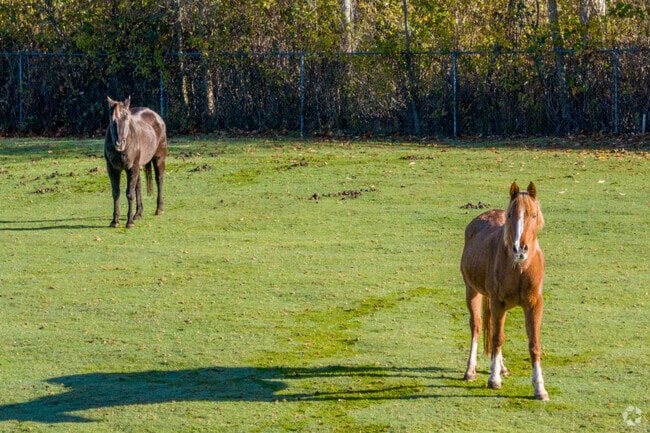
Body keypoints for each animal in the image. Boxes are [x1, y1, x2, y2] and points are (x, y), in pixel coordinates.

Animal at [104, 96, 167, 228]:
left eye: (126, 117)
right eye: (111, 119)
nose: (119, 144)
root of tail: (156, 116)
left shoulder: (131, 167)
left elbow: (130, 193)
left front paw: (129, 222)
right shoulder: (112, 169)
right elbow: (116, 193)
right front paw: (115, 221)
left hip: (159, 158)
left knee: (159, 180)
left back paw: (159, 209)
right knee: (138, 185)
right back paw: (138, 213)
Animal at [460, 181, 549, 400]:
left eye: (533, 215)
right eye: (510, 215)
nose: (520, 249)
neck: (520, 268)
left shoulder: (534, 304)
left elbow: (534, 345)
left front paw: (540, 388)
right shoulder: (497, 301)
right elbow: (497, 338)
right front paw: (494, 380)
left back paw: (501, 367)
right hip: (472, 291)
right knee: (477, 326)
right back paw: (470, 371)